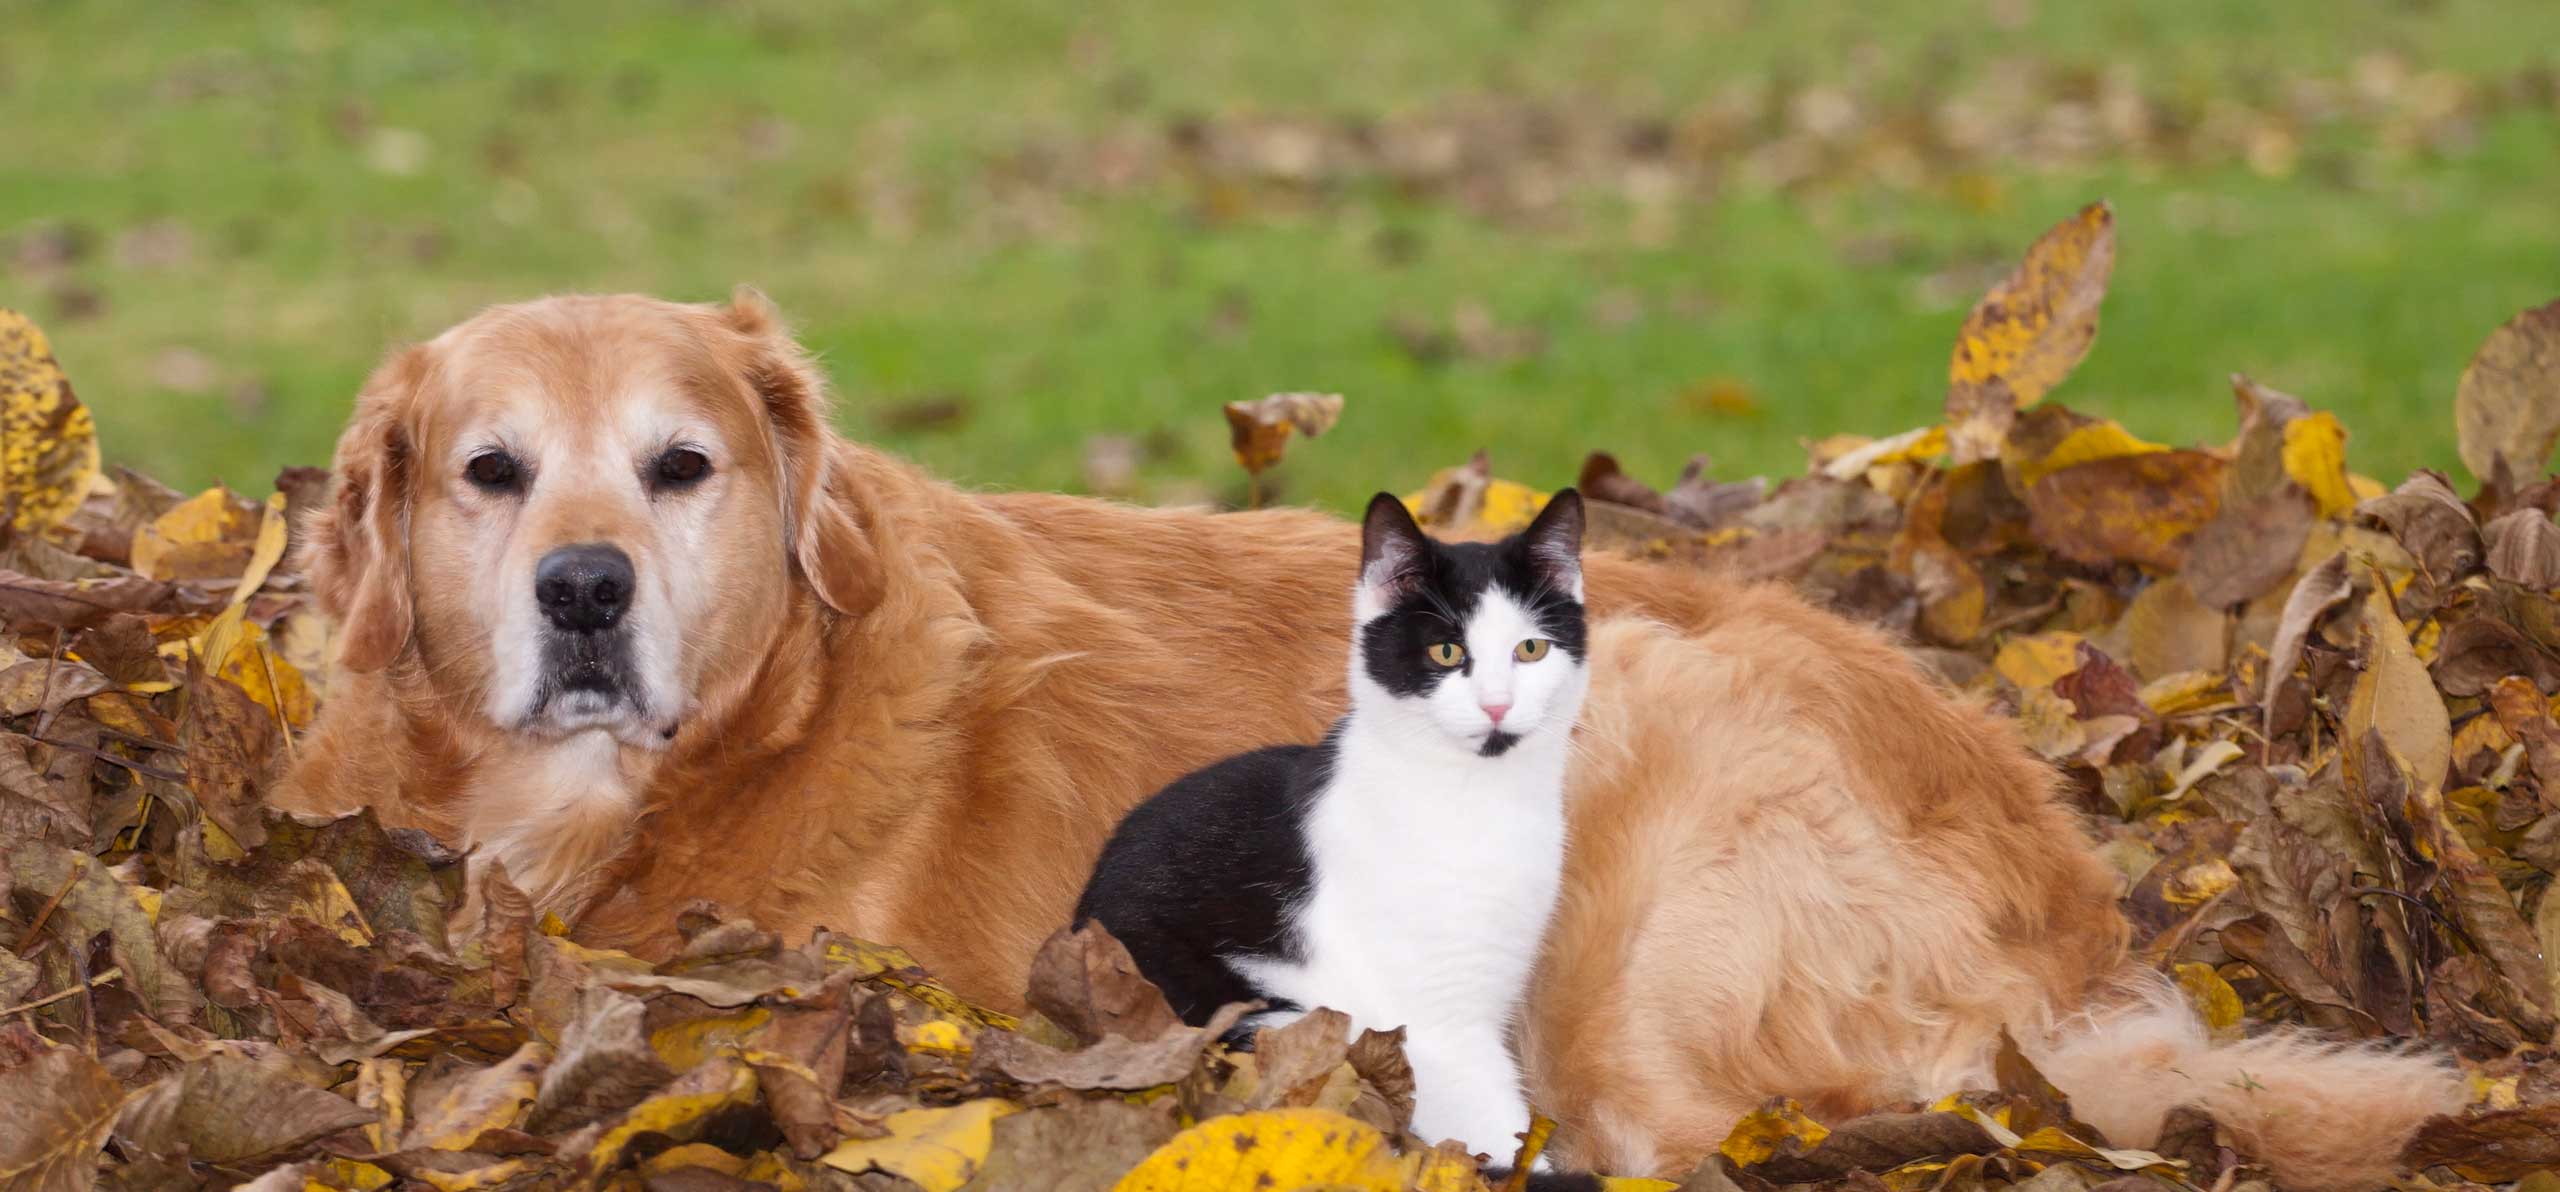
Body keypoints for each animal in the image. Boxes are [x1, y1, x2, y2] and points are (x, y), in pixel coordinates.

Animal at [1070, 480, 1587, 1156]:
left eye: (1531, 649)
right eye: (1446, 651)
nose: (1497, 705)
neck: (1474, 798)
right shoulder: (1434, 1023)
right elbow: (1490, 1124)